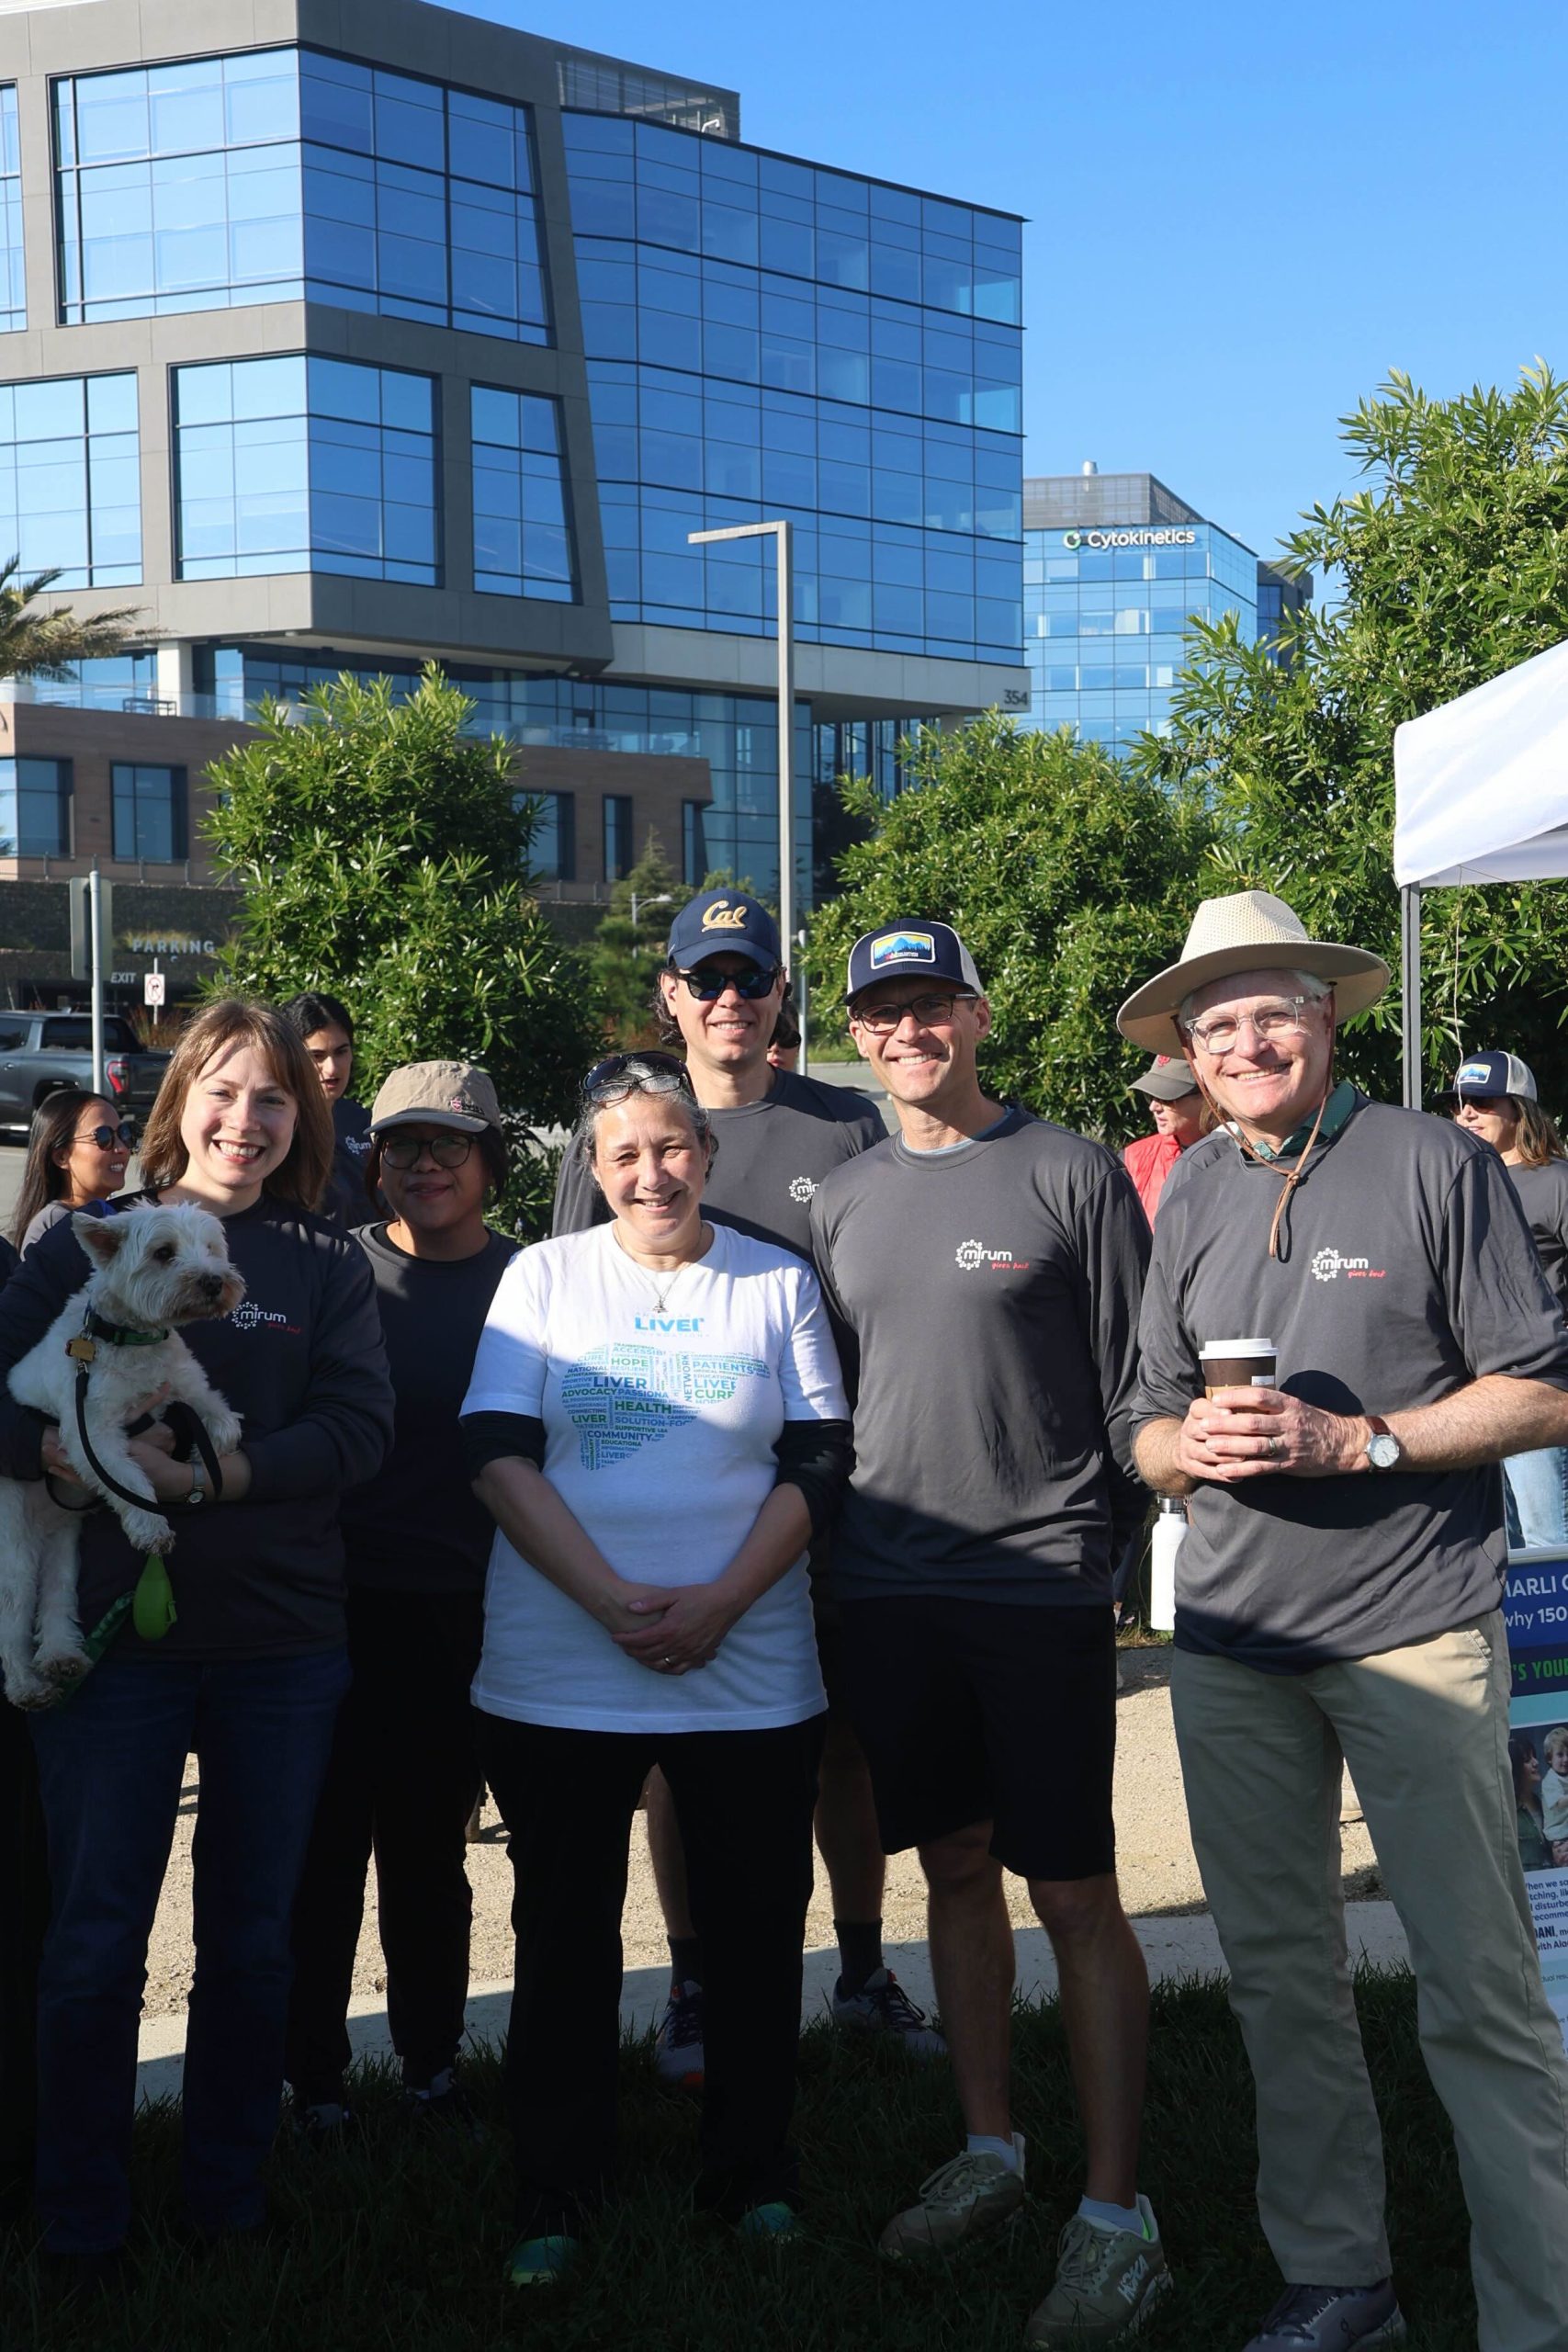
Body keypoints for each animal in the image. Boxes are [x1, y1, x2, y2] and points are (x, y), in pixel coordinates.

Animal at [0, 1204, 246, 1709]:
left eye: (211, 1248)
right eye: (163, 1252)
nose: (215, 1281)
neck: (132, 1339)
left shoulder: (188, 1386)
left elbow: (221, 1420)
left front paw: (204, 1453)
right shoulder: (91, 1432)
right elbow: (129, 1480)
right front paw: (152, 1528)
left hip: (64, 1545)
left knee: (56, 1597)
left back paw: (62, 1657)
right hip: (12, 1543)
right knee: (13, 1614)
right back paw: (26, 1685)